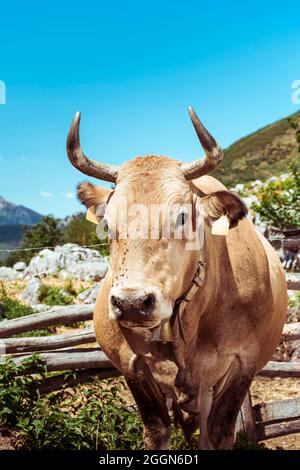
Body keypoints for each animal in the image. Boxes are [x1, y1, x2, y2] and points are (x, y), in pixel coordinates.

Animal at [67, 108, 288, 450]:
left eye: (182, 216)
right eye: (107, 222)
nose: (132, 303)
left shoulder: (242, 366)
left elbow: (220, 432)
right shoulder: (132, 366)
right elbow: (157, 429)